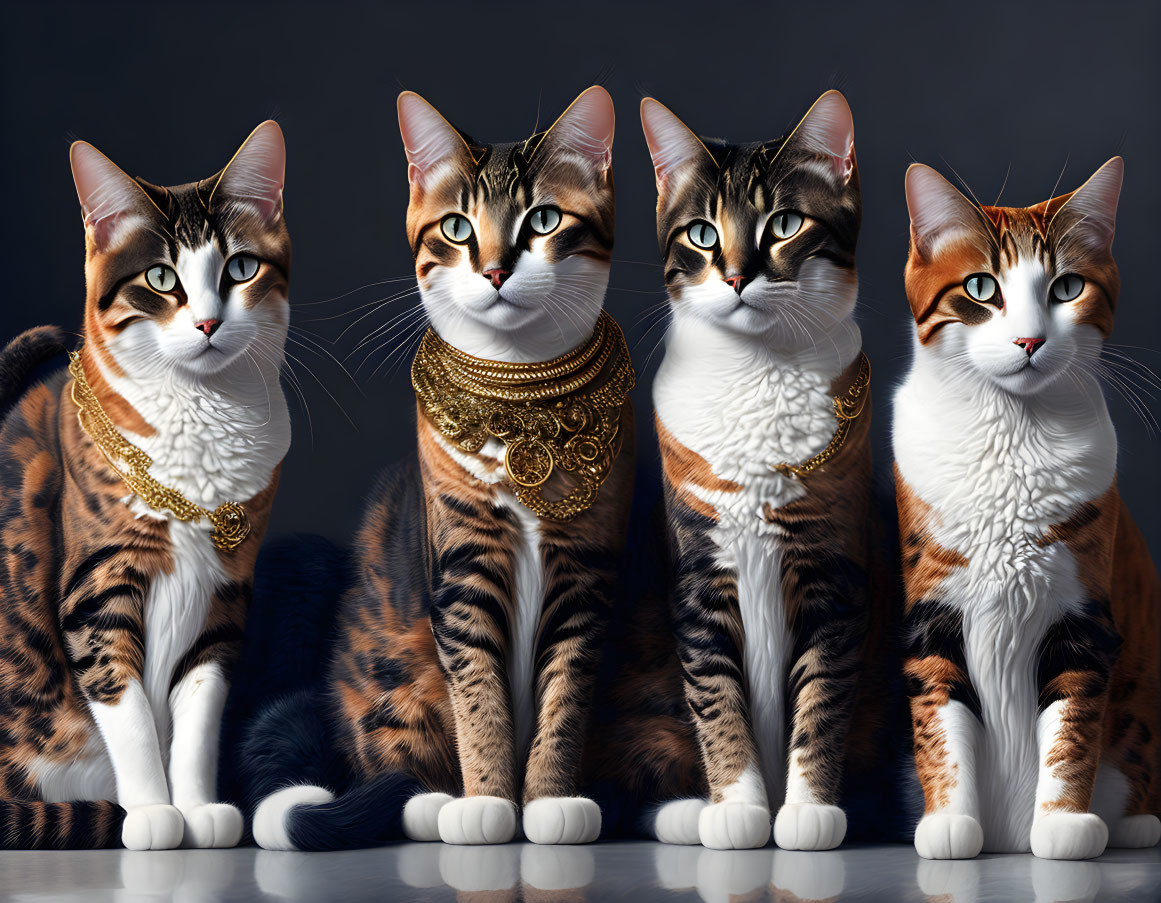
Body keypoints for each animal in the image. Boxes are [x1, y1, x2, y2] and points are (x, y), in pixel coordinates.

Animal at [0, 119, 290, 844]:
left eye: (240, 268)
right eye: (160, 277)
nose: (209, 322)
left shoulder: (225, 594)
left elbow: (199, 715)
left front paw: (197, 806)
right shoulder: (98, 583)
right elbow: (123, 705)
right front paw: (154, 812)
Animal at [243, 84, 636, 844]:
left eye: (544, 219)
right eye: (456, 228)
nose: (494, 269)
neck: (521, 406)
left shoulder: (588, 566)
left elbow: (565, 694)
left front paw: (550, 799)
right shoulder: (461, 562)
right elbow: (478, 693)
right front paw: (487, 800)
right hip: (386, 681)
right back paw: (430, 798)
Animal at [589, 88, 887, 849]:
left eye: (784, 223)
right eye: (700, 233)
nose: (734, 276)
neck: (756, 376)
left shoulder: (831, 571)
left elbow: (823, 695)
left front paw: (808, 810)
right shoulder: (698, 568)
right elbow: (715, 694)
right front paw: (738, 805)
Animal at [896, 156, 1161, 858]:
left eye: (1067, 287)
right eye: (981, 287)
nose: (1029, 341)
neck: (1011, 437)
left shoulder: (1083, 617)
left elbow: (1072, 726)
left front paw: (1063, 823)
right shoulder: (933, 610)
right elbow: (939, 718)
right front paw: (949, 822)